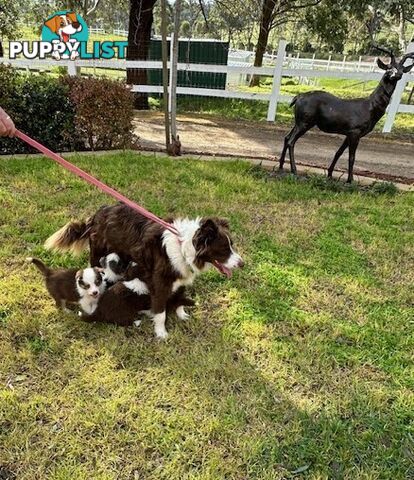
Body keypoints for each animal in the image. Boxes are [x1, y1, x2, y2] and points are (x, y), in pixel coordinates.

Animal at [45, 204, 244, 340]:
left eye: (232, 245)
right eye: (224, 249)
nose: (242, 264)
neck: (183, 247)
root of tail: (96, 214)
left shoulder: (180, 279)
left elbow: (180, 299)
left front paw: (182, 315)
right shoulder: (159, 284)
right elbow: (161, 313)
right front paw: (161, 333)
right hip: (97, 254)